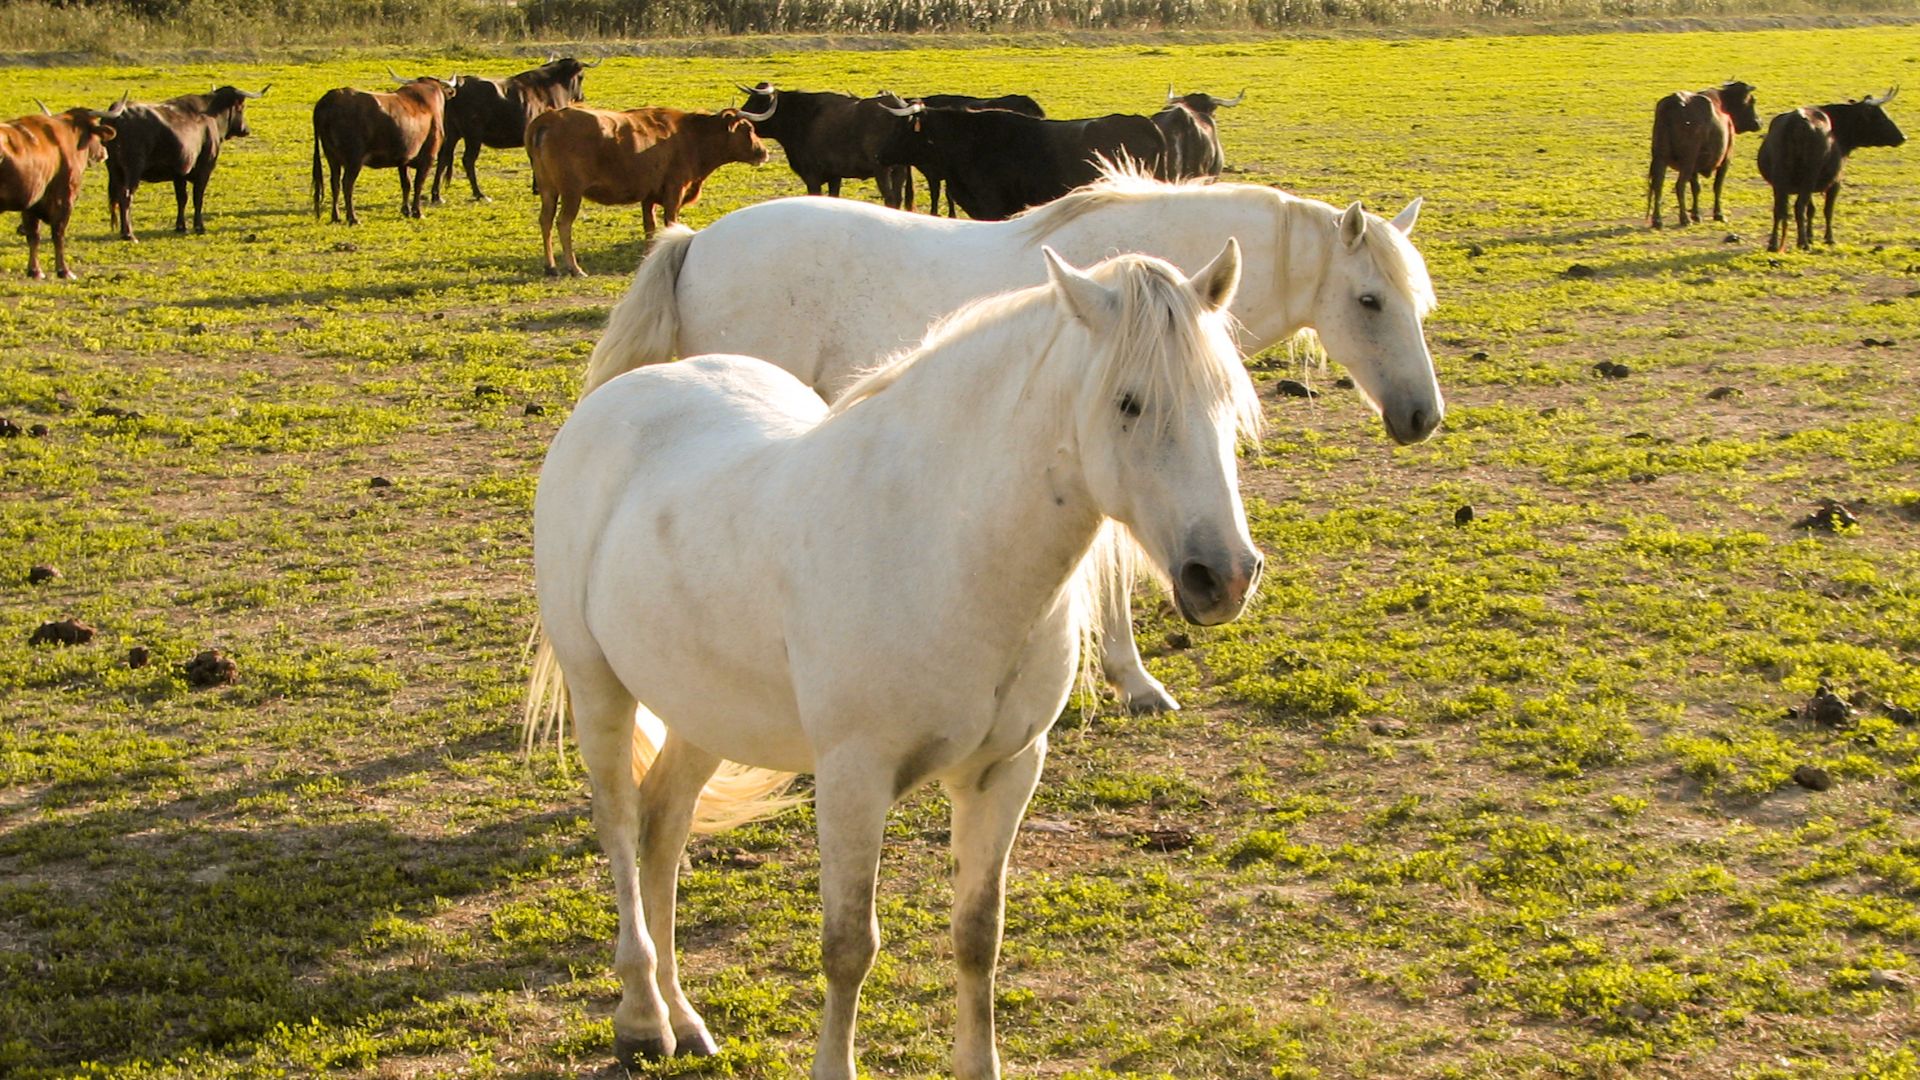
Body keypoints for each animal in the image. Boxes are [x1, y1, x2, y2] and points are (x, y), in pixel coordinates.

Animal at [525, 242, 1262, 1080]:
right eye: (1130, 403)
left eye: (1227, 399)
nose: (1223, 576)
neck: (941, 543)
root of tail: (620, 398)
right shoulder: (854, 777)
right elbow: (849, 946)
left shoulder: (1005, 770)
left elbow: (978, 935)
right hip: (600, 692)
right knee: (620, 826)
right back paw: (645, 1020)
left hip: (704, 712)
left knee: (664, 827)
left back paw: (684, 1017)